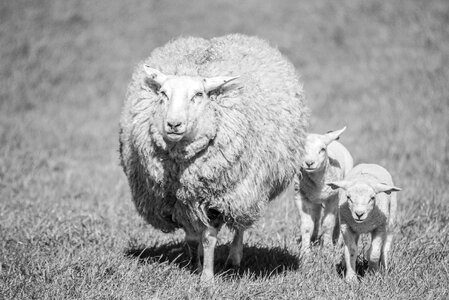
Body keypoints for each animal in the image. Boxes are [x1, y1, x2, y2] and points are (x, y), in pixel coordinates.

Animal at [118, 34, 308, 282]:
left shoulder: (216, 198)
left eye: (198, 95)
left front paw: (207, 278)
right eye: (163, 94)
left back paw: (234, 258)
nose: (173, 124)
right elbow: (191, 237)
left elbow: (209, 237)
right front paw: (194, 265)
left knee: (240, 224)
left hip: (244, 189)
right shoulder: (177, 200)